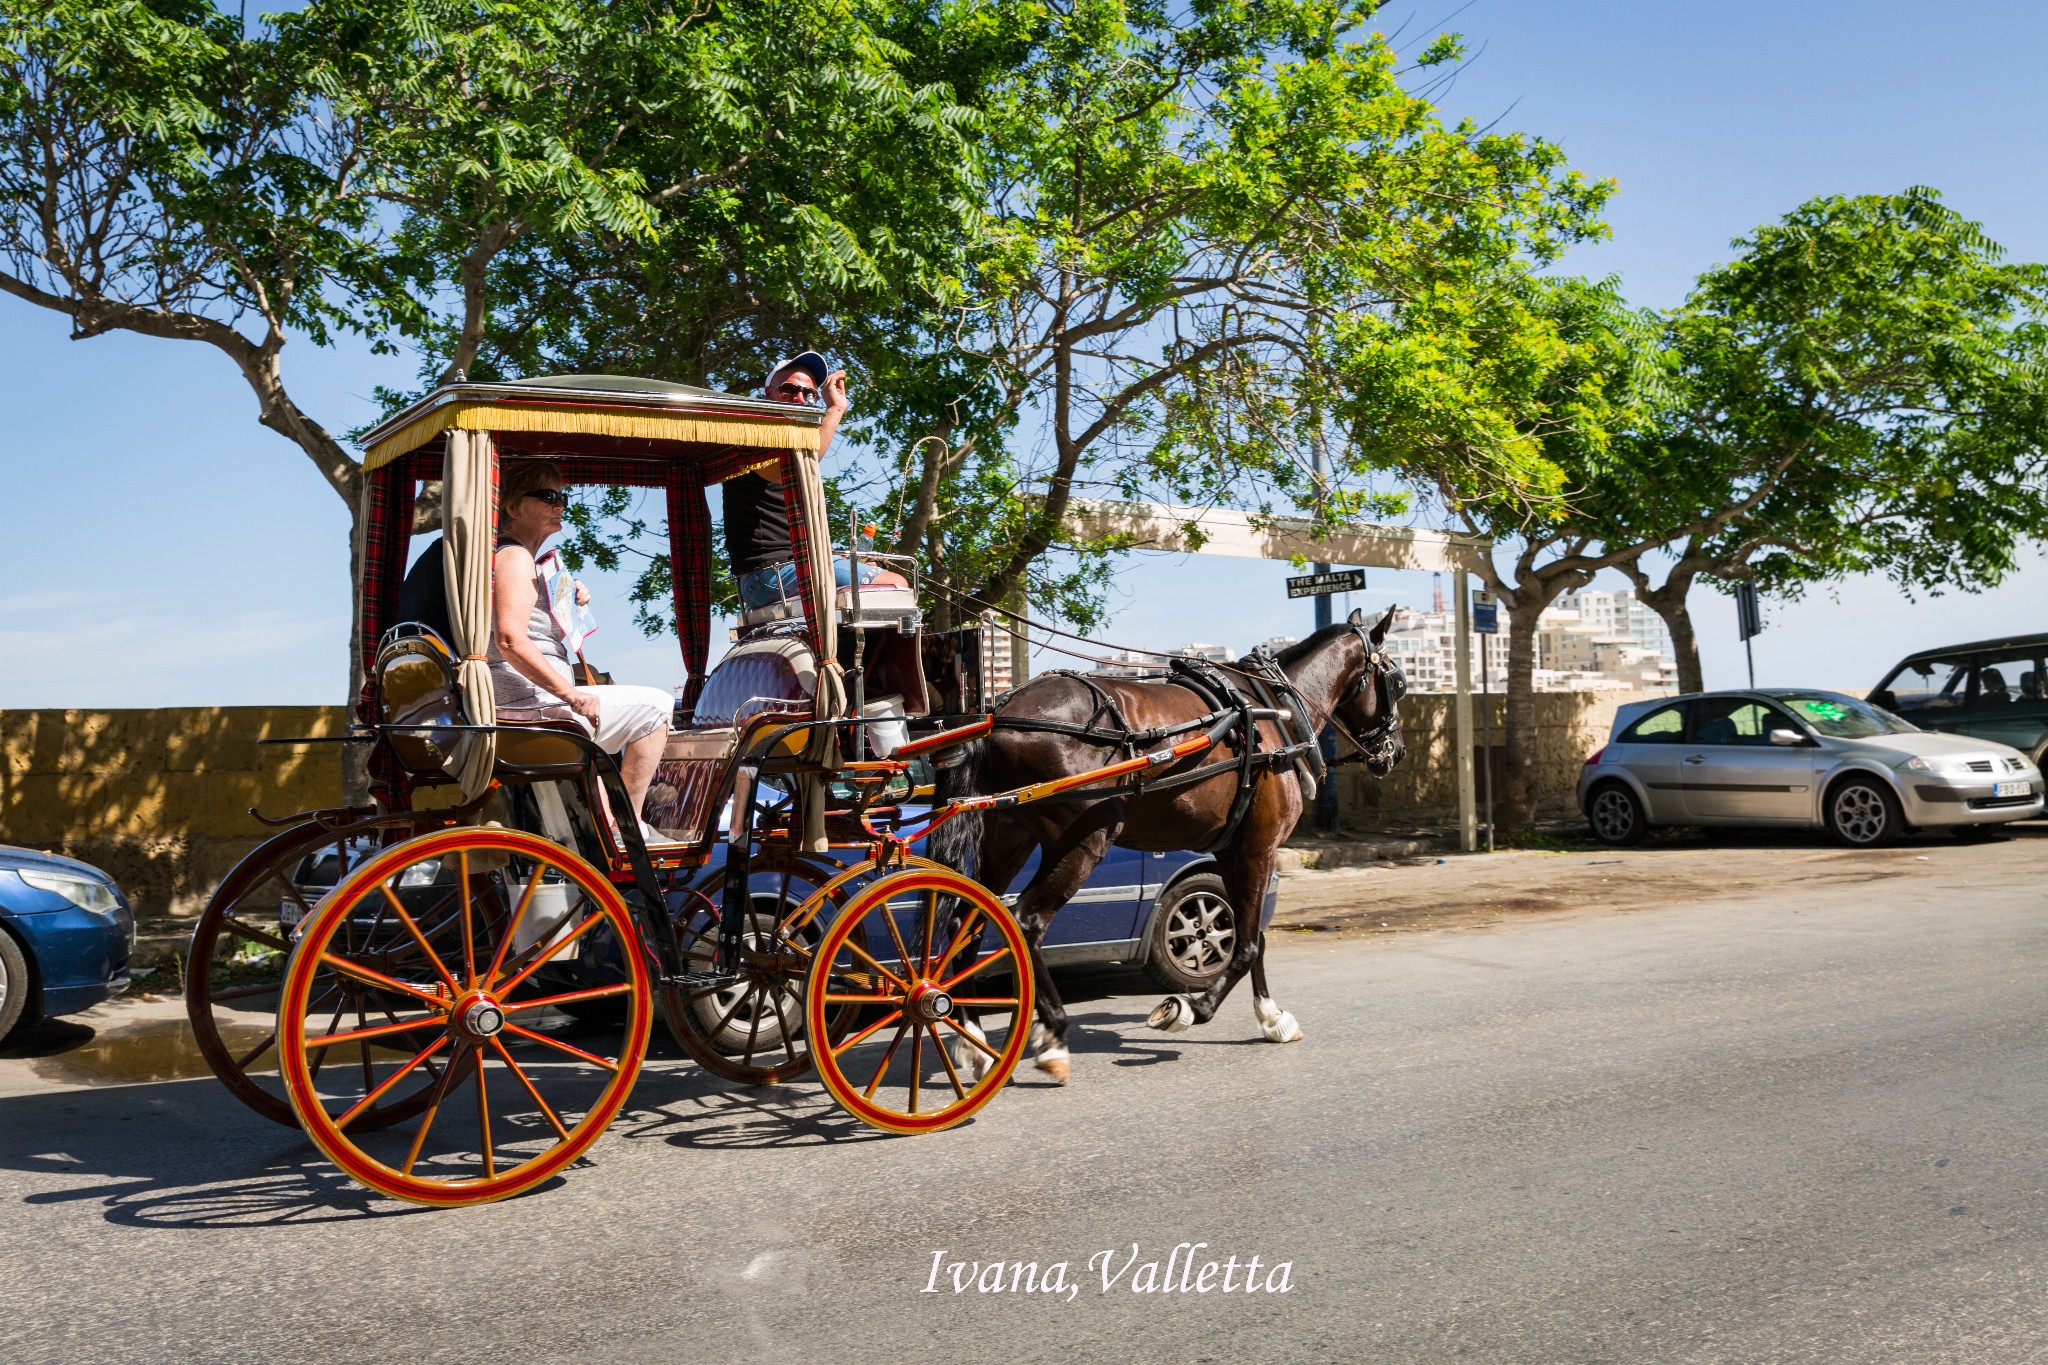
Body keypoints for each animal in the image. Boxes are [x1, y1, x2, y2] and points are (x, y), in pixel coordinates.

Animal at [933, 613, 1400, 1080]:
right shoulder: (1259, 849)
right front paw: (1192, 1008)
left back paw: (973, 1039)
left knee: (969, 918)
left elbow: (1254, 937)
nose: (1395, 750)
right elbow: (1247, 944)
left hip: (1009, 837)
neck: (1276, 711)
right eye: (1396, 681)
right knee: (1026, 921)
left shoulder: (1231, 852)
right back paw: (1053, 1035)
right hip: (1083, 842)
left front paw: (1271, 1016)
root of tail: (999, 716)